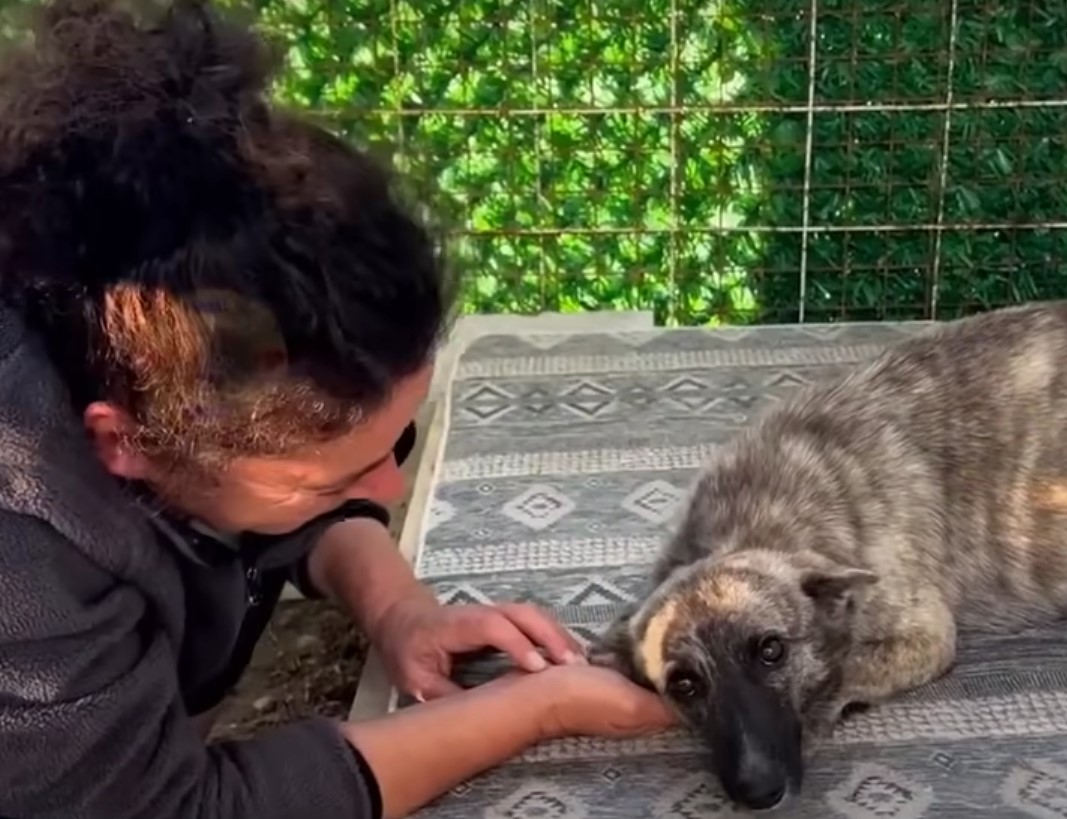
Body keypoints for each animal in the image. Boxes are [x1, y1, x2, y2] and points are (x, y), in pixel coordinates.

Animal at [588, 300, 1067, 810]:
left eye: (772, 650)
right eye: (684, 684)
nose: (759, 794)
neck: (755, 518)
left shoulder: (929, 637)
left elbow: (843, 667)